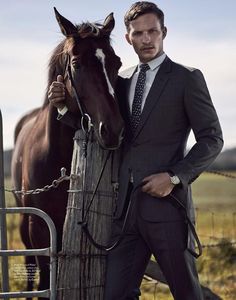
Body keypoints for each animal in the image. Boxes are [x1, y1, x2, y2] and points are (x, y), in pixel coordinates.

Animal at [11, 8, 123, 298]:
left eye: (117, 63)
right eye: (77, 64)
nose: (114, 130)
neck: (56, 153)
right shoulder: (40, 227)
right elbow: (45, 280)